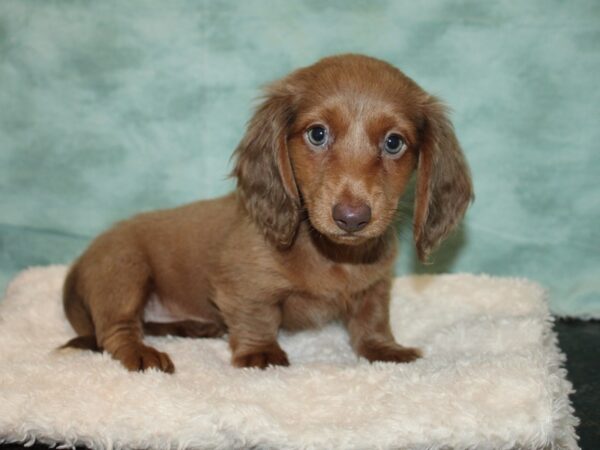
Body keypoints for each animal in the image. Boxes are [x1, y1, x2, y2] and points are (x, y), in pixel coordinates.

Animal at [62, 54, 474, 372]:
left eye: (393, 143)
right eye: (317, 134)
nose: (352, 218)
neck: (331, 254)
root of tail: (79, 263)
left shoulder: (374, 285)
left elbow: (371, 318)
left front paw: (384, 349)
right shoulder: (241, 283)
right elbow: (257, 314)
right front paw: (260, 353)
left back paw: (196, 328)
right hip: (124, 271)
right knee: (116, 332)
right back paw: (143, 354)